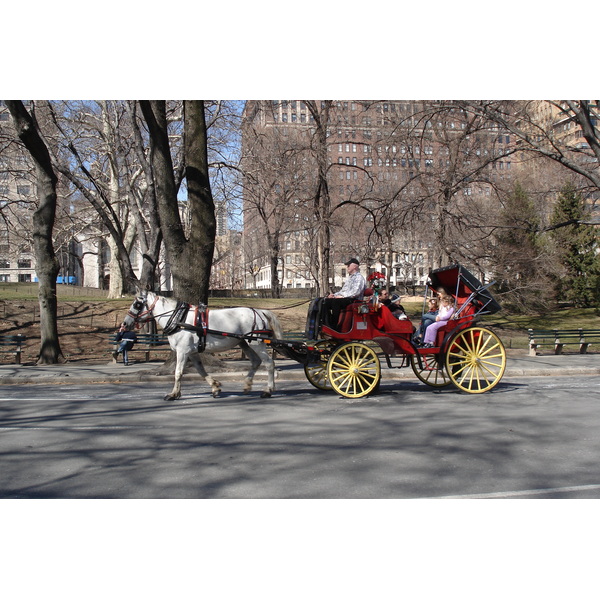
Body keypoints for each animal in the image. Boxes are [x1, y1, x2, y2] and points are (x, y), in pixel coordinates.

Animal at [122, 290, 284, 398]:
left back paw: (268, 390)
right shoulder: (192, 352)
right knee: (256, 361)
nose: (124, 323)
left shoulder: (182, 351)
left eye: (137, 304)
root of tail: (260, 311)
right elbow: (201, 370)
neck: (178, 320)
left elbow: (178, 372)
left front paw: (173, 394)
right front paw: (215, 387)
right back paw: (247, 385)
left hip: (257, 343)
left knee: (269, 363)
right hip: (244, 342)